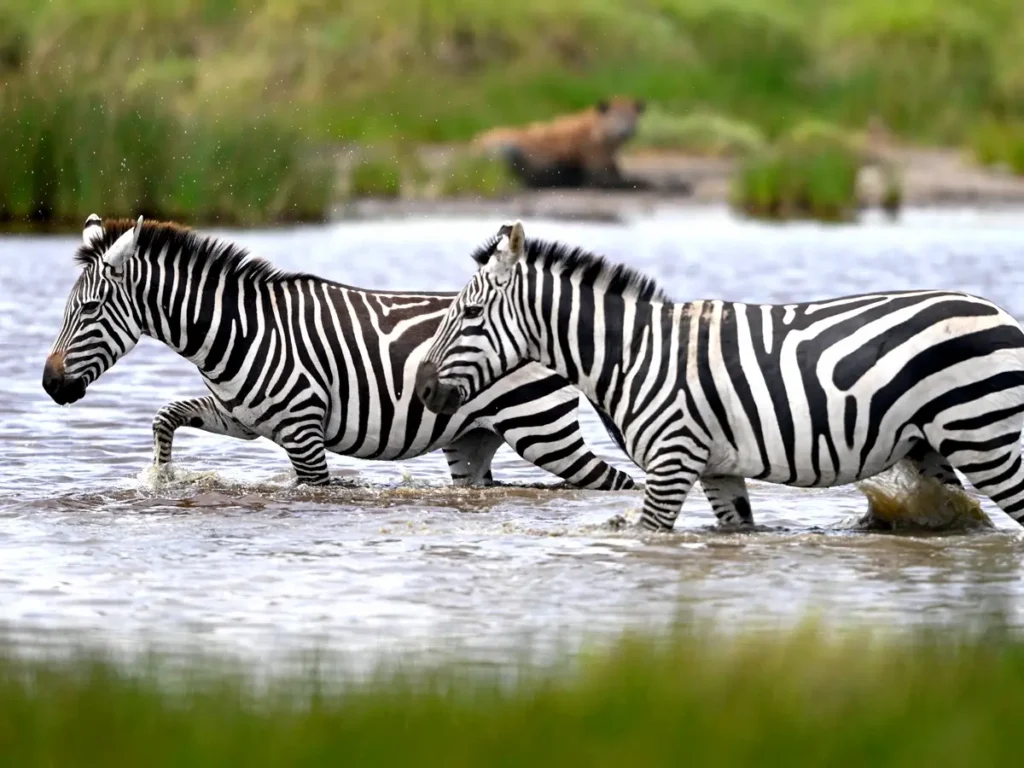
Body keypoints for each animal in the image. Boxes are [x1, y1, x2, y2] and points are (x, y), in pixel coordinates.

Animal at [41, 214, 635, 492]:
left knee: (616, 482)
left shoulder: (304, 434)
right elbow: (165, 416)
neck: (238, 330)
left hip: (543, 431)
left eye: (89, 310)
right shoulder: (239, 418)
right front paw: (162, 477)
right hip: (473, 442)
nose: (49, 384)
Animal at [415, 219, 1024, 532]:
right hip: (935, 448)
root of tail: (1001, 314)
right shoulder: (716, 468)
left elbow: (650, 537)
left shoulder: (671, 461)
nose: (422, 390)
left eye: (470, 314)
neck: (633, 353)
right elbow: (736, 531)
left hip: (986, 440)